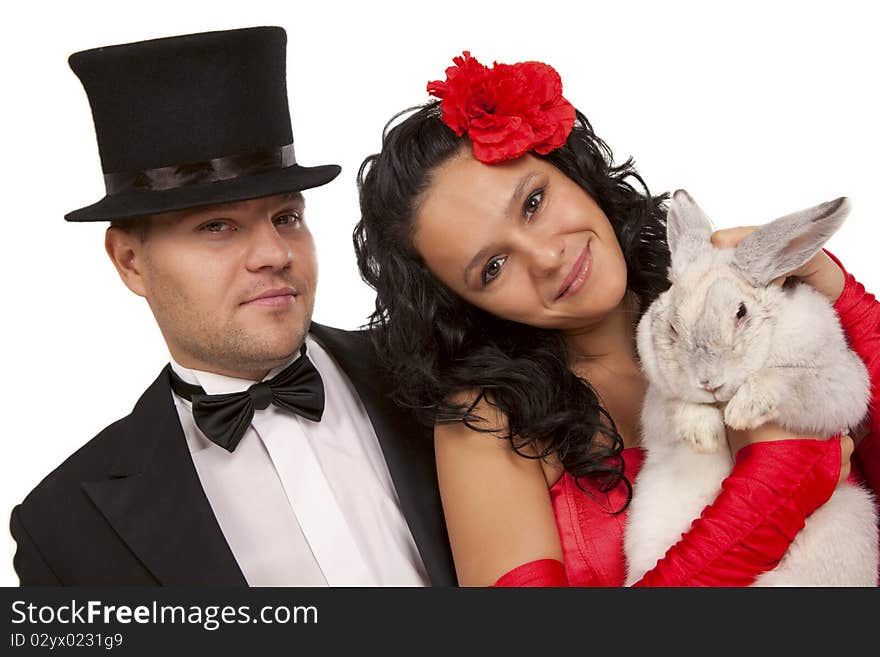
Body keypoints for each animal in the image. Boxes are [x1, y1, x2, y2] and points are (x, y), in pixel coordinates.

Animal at [624, 190, 876, 584]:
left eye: (740, 313)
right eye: (673, 329)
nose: (709, 382)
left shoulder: (841, 381)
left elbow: (793, 381)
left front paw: (742, 411)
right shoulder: (656, 405)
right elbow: (676, 407)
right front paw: (705, 435)